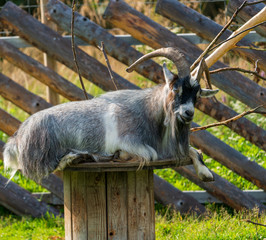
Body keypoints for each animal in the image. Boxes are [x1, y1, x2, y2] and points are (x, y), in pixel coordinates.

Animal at [3, 47, 218, 182]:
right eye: (176, 88)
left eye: (197, 94)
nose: (188, 113)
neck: (147, 111)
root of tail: (18, 137)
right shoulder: (131, 142)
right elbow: (150, 154)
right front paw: (120, 154)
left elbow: (193, 151)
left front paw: (205, 173)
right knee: (51, 166)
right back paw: (75, 158)